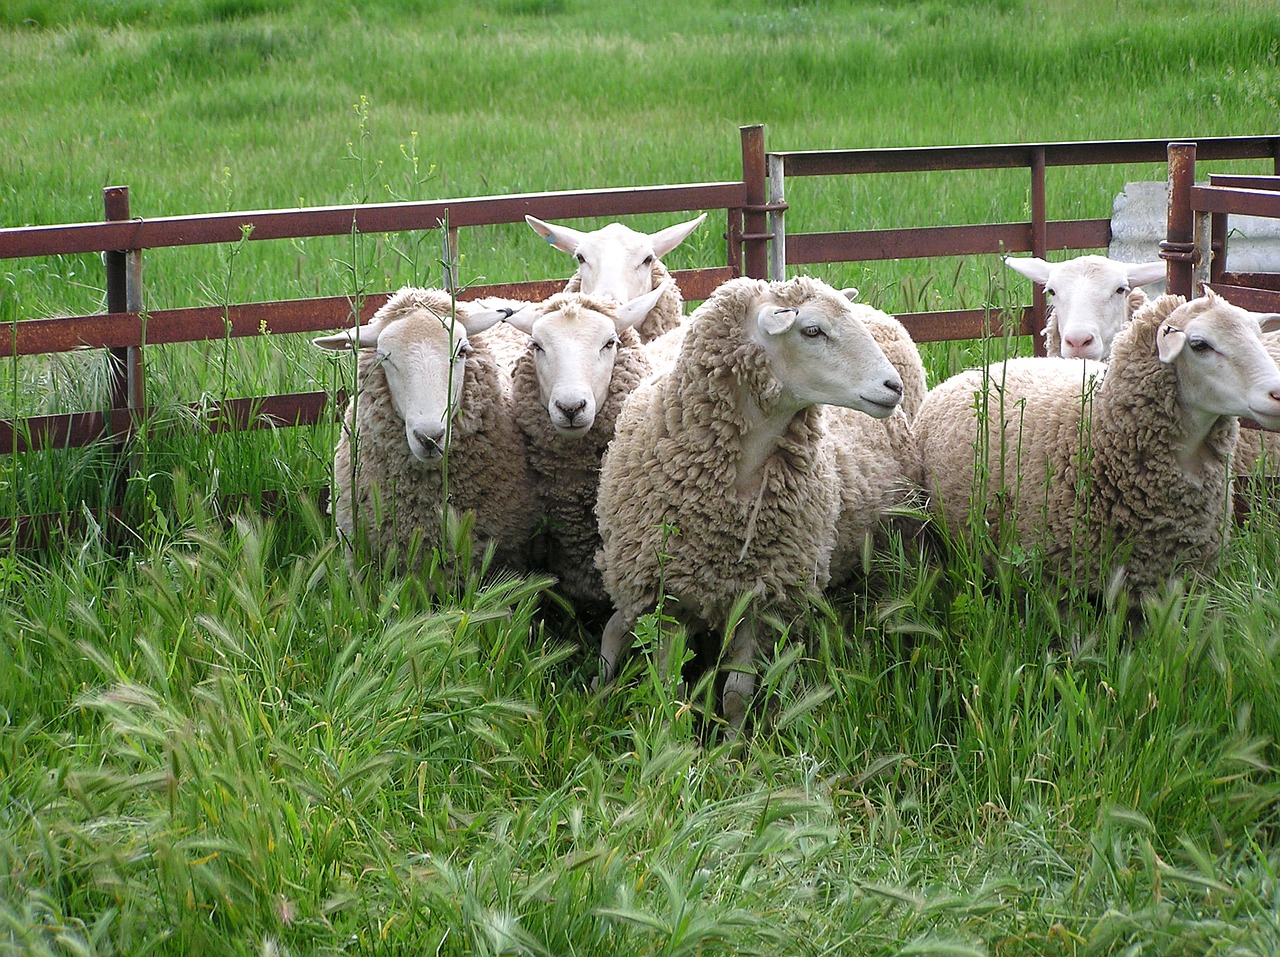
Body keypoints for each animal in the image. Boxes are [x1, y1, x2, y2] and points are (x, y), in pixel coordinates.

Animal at [593, 276, 916, 731]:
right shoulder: (666, 598)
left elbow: (736, 695)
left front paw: (731, 746)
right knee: (615, 627)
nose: (892, 387)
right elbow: (667, 687)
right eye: (812, 330)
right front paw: (669, 736)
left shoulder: (764, 600)